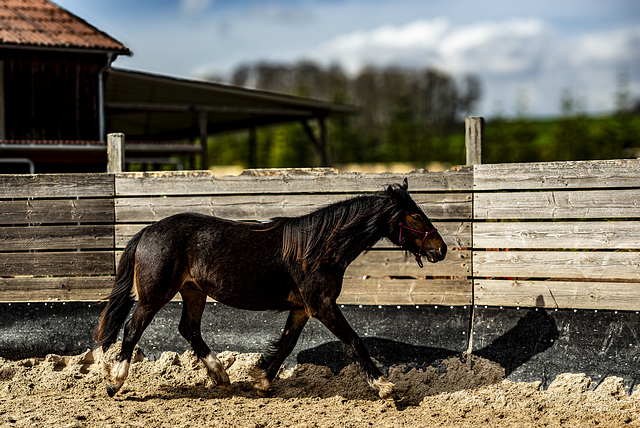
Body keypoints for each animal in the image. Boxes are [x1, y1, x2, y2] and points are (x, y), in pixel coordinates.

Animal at [95, 177, 448, 398]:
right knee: (132, 330)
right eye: (416, 215)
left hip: (194, 291)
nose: (441, 249)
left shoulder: (302, 308)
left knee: (189, 329)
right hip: (155, 295)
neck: (318, 247)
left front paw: (262, 381)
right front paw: (384, 386)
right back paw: (115, 383)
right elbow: (354, 341)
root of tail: (147, 231)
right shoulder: (322, 305)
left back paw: (222, 377)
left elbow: (286, 345)